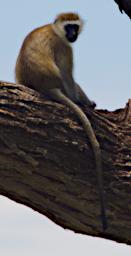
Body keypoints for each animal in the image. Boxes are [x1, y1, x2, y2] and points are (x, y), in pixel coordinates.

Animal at [15, 12, 107, 229]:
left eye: (75, 26)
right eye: (69, 28)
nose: (73, 34)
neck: (55, 30)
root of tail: (44, 87)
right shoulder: (65, 48)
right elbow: (68, 75)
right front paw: (84, 102)